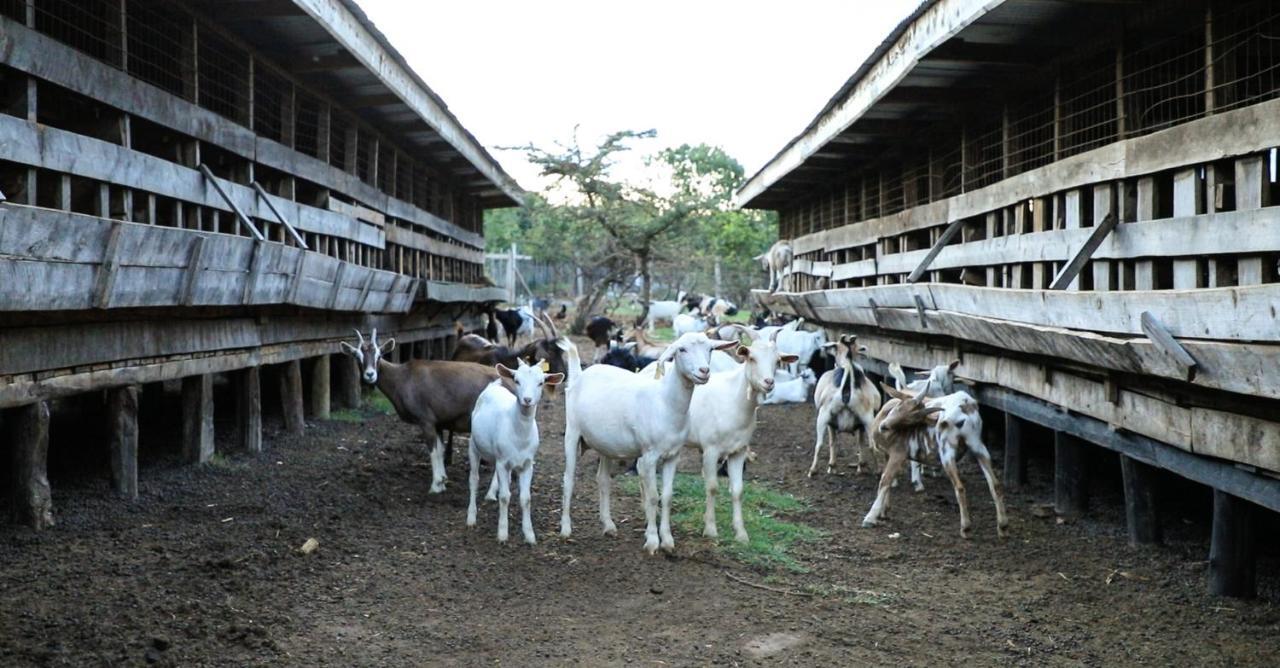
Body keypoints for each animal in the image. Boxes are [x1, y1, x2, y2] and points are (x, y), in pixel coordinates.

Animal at [468, 358, 563, 540]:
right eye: (517, 380)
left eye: (541, 383)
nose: (527, 399)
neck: (520, 436)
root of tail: (493, 386)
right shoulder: (503, 461)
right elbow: (505, 497)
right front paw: (502, 533)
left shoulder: (527, 463)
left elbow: (526, 498)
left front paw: (529, 535)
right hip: (473, 445)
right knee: (474, 479)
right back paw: (471, 517)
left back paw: (491, 494)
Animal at [558, 332, 732, 550]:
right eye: (681, 349)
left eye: (710, 349)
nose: (704, 371)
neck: (664, 402)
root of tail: (579, 375)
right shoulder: (649, 456)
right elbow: (652, 497)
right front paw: (652, 541)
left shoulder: (673, 455)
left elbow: (667, 496)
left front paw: (667, 540)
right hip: (572, 433)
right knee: (568, 479)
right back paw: (565, 529)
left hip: (606, 444)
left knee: (603, 479)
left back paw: (608, 525)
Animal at [686, 326, 793, 540]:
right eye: (751, 357)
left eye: (777, 360)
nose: (769, 382)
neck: (732, 401)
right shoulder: (710, 450)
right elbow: (712, 487)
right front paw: (710, 529)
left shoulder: (738, 451)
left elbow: (737, 491)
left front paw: (741, 533)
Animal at [808, 332, 880, 473]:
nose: (864, 350)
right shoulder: (860, 425)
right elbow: (859, 442)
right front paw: (860, 465)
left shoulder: (830, 423)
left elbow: (833, 441)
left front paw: (832, 465)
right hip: (868, 419)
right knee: (872, 446)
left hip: (823, 416)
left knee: (819, 444)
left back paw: (813, 470)